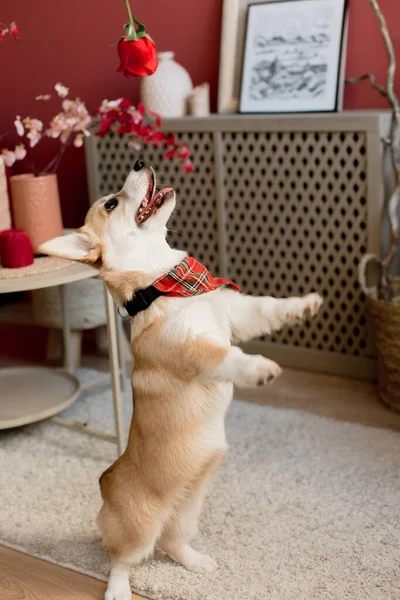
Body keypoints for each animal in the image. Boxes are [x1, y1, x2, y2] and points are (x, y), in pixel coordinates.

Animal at [40, 161, 322, 600]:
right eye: (110, 203)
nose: (139, 162)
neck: (165, 285)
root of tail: (107, 483)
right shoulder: (193, 351)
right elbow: (227, 357)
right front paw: (259, 369)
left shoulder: (237, 316)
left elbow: (268, 308)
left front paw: (305, 304)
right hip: (139, 529)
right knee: (121, 559)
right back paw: (118, 590)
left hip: (188, 512)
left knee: (172, 543)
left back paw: (196, 562)